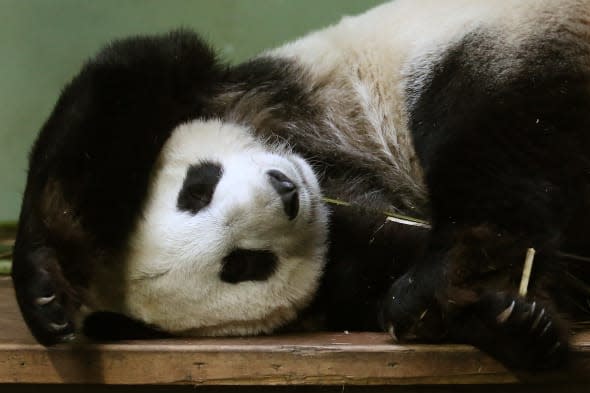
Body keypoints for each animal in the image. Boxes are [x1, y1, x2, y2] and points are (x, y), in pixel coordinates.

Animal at [10, 0, 590, 370]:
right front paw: (513, 323)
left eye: (197, 189)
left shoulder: (241, 88)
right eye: (242, 265)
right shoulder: (348, 244)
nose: (285, 193)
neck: (318, 164)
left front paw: (44, 284)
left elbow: (129, 75)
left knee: (488, 130)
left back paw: (435, 277)